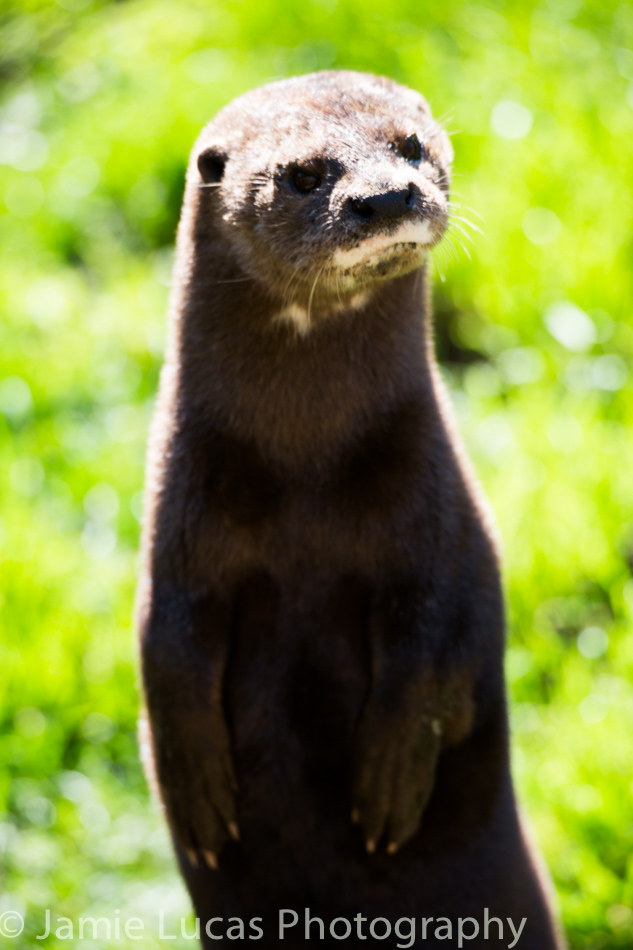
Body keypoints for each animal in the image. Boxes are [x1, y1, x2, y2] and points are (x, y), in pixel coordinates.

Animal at [138, 71, 565, 948]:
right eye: (305, 172)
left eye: (411, 144)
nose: (388, 196)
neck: (306, 469)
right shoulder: (175, 532)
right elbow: (165, 654)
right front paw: (194, 786)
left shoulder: (448, 527)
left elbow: (441, 646)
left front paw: (391, 776)